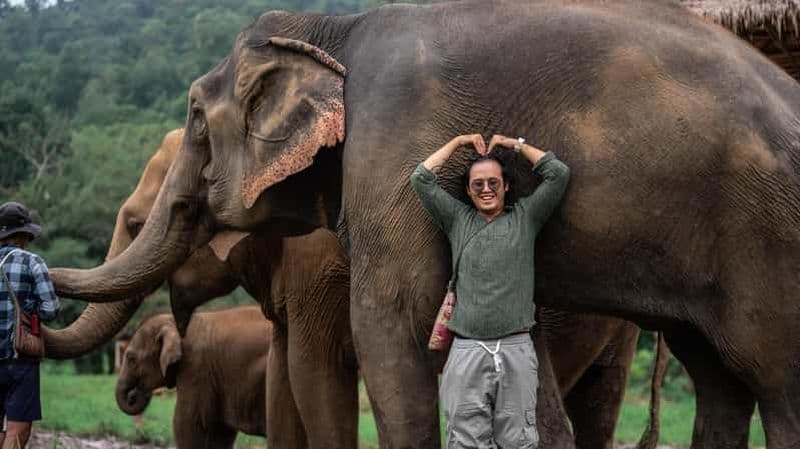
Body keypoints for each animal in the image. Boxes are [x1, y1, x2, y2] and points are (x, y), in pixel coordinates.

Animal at [116, 306, 269, 449]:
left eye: (131, 359)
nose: (133, 395)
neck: (174, 322)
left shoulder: (196, 368)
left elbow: (186, 423)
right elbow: (221, 430)